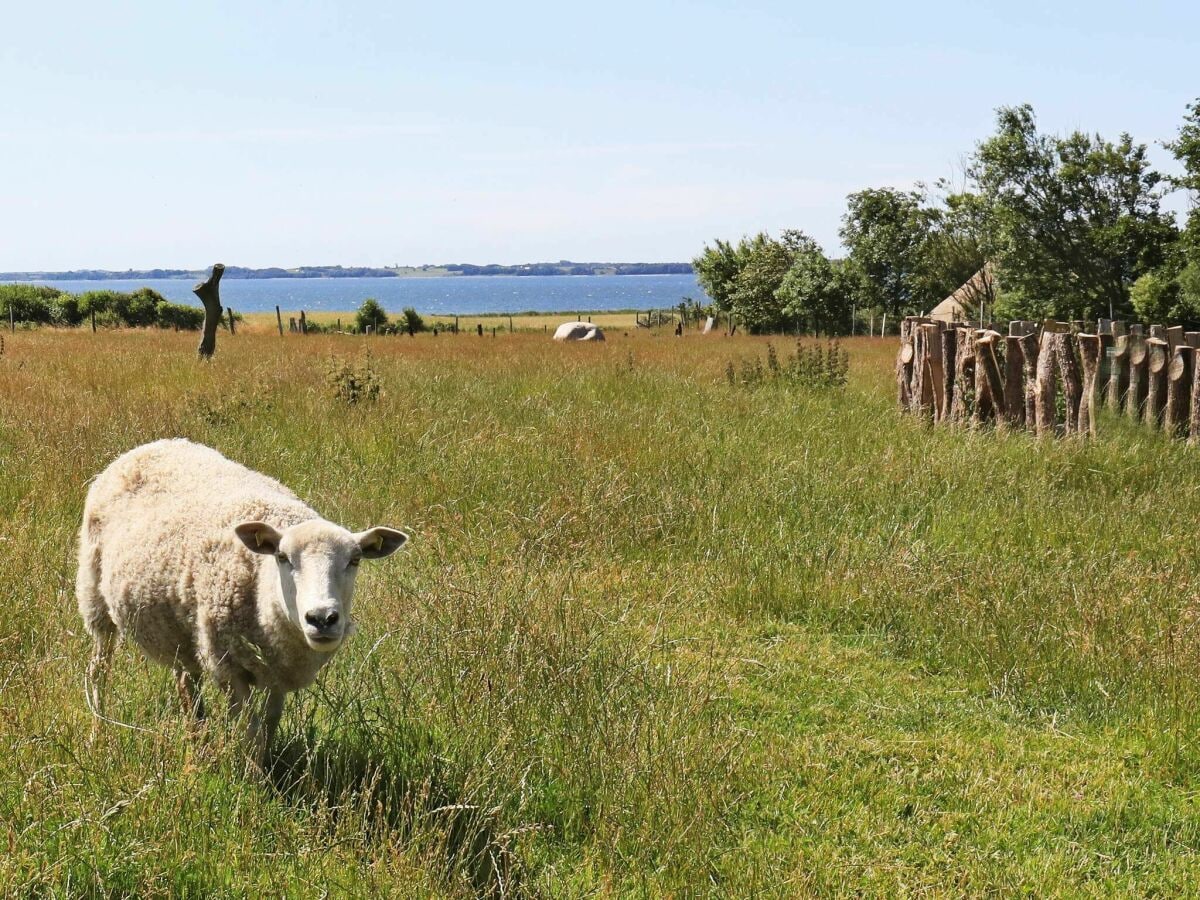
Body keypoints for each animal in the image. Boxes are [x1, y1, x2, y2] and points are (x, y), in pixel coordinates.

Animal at [79, 441, 410, 758]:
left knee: (186, 682)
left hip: (181, 630)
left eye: (355, 559)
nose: (322, 618)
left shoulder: (277, 673)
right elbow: (249, 732)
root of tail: (150, 446)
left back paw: (196, 741)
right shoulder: (229, 668)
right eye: (282, 557)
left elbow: (268, 727)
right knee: (98, 671)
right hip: (94, 597)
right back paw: (99, 732)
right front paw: (250, 776)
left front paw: (264, 768)